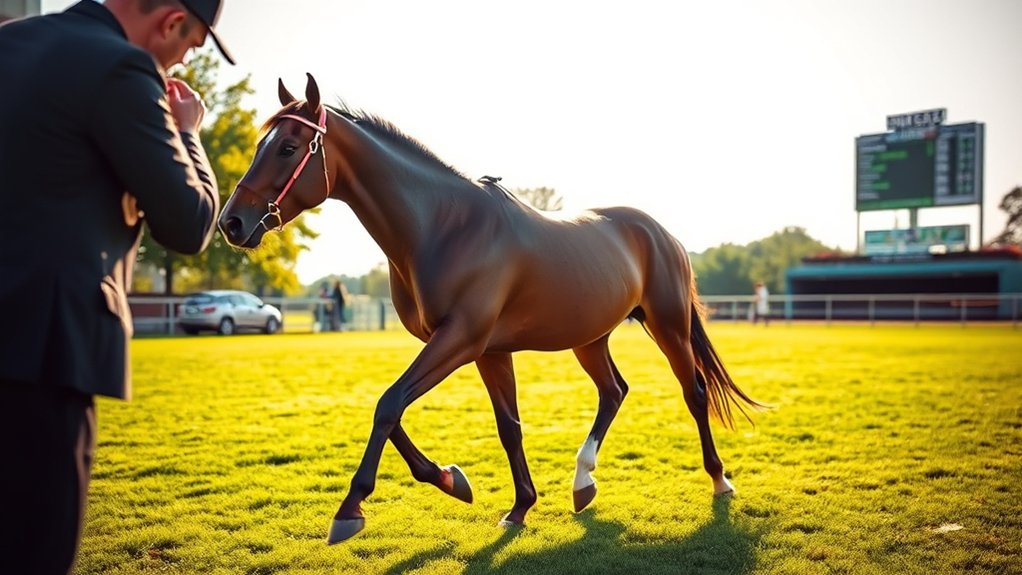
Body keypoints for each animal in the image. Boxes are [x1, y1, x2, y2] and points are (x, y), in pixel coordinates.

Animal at [218, 74, 764, 544]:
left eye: (288, 148)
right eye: (261, 146)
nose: (232, 222)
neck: (444, 227)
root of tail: (660, 232)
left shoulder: (461, 340)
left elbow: (388, 404)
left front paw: (351, 510)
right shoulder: (488, 351)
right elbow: (503, 427)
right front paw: (492, 496)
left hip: (668, 326)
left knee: (694, 393)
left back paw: (719, 481)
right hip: (589, 338)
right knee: (614, 391)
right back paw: (583, 482)